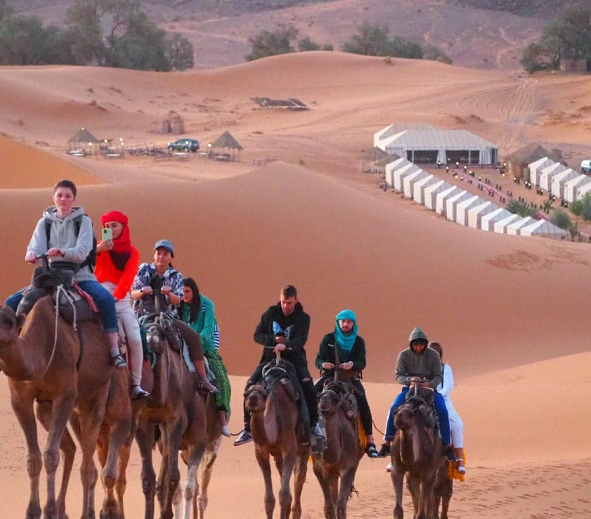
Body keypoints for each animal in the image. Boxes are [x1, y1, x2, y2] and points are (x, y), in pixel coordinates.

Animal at [0, 298, 128, 519]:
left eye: (8, 321)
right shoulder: (19, 400)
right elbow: (33, 459)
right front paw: (32, 511)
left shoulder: (66, 393)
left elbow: (50, 455)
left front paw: (49, 510)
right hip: (54, 408)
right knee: (75, 451)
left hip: (97, 394)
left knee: (88, 464)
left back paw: (87, 513)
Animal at [136, 314, 208, 519]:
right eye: (144, 329)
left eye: (161, 332)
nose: (152, 332)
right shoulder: (143, 422)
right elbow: (147, 478)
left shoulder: (175, 420)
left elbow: (173, 476)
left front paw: (166, 513)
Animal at [244, 356, 310, 519]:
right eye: (246, 394)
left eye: (263, 394)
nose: (252, 399)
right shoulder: (261, 451)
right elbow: (269, 499)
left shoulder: (290, 449)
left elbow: (284, 495)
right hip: (278, 456)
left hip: (304, 448)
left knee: (298, 480)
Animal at [312, 382, 364, 519]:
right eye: (319, 398)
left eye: (334, 399)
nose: (323, 401)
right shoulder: (321, 469)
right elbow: (329, 508)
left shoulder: (349, 467)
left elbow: (340, 507)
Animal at [390, 384, 446, 519]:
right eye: (395, 412)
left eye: (410, 414)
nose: (398, 417)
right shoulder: (397, 469)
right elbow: (397, 510)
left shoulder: (427, 471)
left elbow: (422, 514)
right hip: (414, 473)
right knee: (414, 486)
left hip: (437, 466)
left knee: (434, 488)